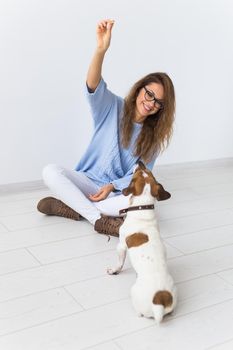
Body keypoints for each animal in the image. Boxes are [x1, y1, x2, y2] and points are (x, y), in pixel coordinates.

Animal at [107, 161, 177, 322]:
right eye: (148, 172)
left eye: (138, 171)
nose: (140, 161)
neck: (142, 208)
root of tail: (159, 299)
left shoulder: (121, 246)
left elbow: (119, 262)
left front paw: (114, 270)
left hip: (134, 292)